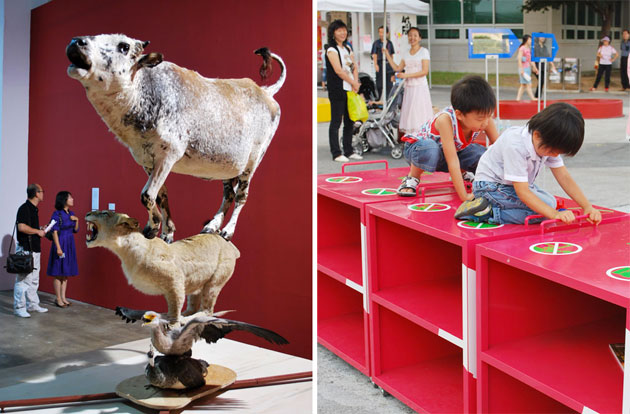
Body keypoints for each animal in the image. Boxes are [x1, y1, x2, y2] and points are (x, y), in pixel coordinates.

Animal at [67, 35, 286, 244]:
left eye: (124, 46)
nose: (76, 42)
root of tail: (265, 90)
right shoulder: (147, 160)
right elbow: (161, 195)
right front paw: (165, 232)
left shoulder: (169, 153)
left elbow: (147, 195)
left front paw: (154, 227)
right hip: (229, 165)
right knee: (229, 194)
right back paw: (211, 226)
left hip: (253, 160)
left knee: (241, 196)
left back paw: (227, 231)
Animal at [86, 210, 239, 324]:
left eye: (105, 213)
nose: (88, 213)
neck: (125, 251)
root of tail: (224, 240)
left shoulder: (176, 280)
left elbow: (174, 310)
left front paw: (173, 324)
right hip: (195, 284)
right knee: (193, 308)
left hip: (214, 283)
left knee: (207, 311)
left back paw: (185, 320)